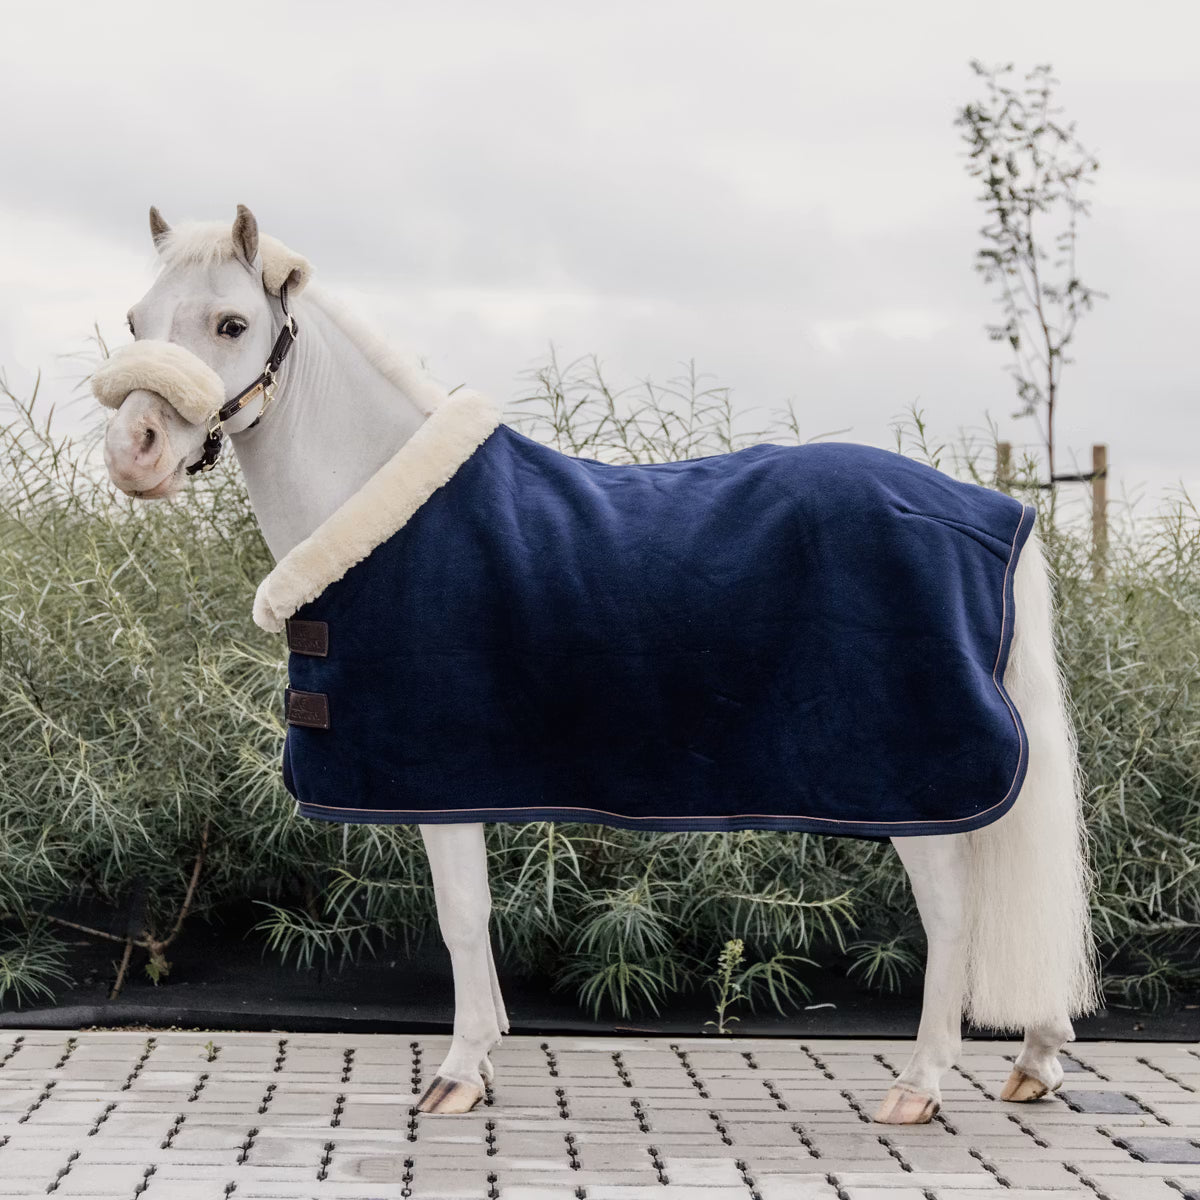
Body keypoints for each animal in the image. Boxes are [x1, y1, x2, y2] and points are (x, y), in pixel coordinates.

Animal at [97, 205, 1097, 1121]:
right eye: (138, 321)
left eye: (232, 324)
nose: (133, 453)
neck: (381, 504)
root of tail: (995, 515)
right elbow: (475, 920)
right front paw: (488, 1048)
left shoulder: (442, 776)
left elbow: (460, 917)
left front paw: (459, 1073)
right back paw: (1038, 1057)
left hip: (916, 791)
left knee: (955, 917)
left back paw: (920, 1086)